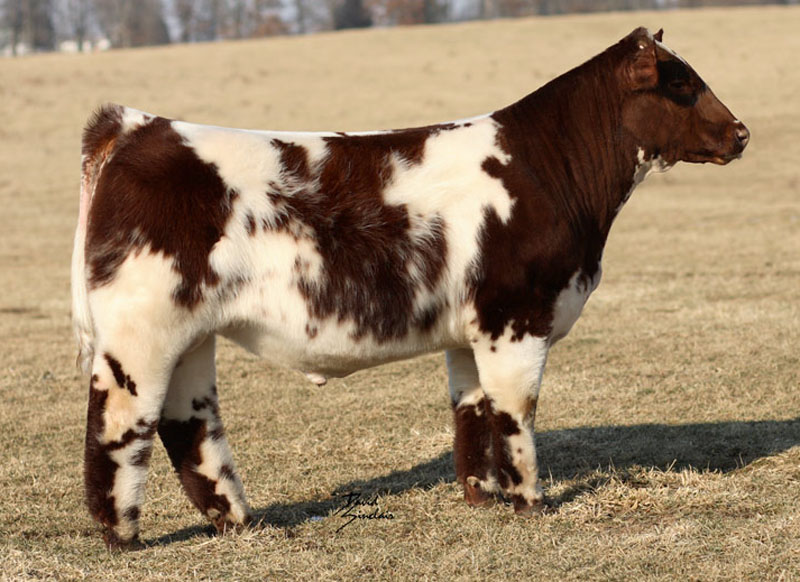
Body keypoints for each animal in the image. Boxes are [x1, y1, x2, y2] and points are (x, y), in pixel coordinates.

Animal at [72, 27, 748, 549]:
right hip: (140, 333)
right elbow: (517, 412)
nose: (741, 132)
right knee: (118, 422)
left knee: (188, 426)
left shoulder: (471, 331)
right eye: (680, 84)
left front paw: (484, 498)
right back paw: (124, 538)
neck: (544, 170)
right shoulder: (516, 317)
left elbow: (473, 412)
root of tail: (138, 126)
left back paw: (240, 522)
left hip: (190, 336)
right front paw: (531, 502)